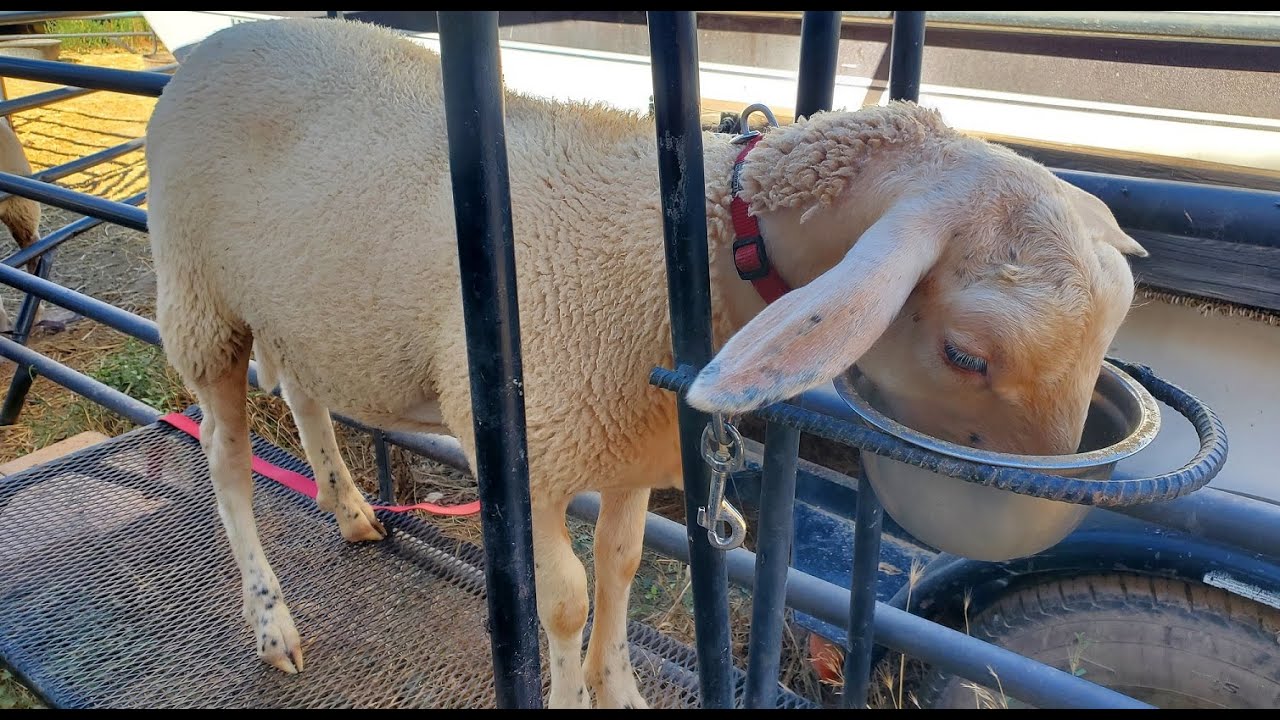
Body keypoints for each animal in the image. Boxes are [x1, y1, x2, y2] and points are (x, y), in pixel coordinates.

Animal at [144, 18, 1147, 709]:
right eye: (964, 353)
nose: (1051, 494)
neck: (686, 249)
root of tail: (221, 40)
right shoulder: (532, 448)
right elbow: (564, 598)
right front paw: (563, 690)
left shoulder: (632, 444)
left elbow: (623, 565)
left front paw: (617, 688)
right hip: (197, 293)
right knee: (226, 462)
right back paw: (271, 618)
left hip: (291, 300)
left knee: (308, 397)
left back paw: (350, 508)